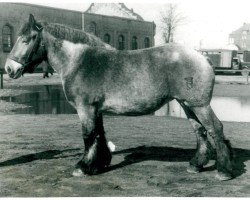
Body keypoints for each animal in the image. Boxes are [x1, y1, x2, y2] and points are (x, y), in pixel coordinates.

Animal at [3, 14, 233, 181]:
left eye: (26, 39)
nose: (9, 69)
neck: (79, 60)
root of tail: (201, 57)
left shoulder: (85, 109)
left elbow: (89, 136)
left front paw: (83, 167)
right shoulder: (96, 110)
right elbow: (99, 135)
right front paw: (100, 163)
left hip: (200, 105)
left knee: (215, 128)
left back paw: (224, 171)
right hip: (187, 104)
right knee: (200, 131)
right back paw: (196, 165)